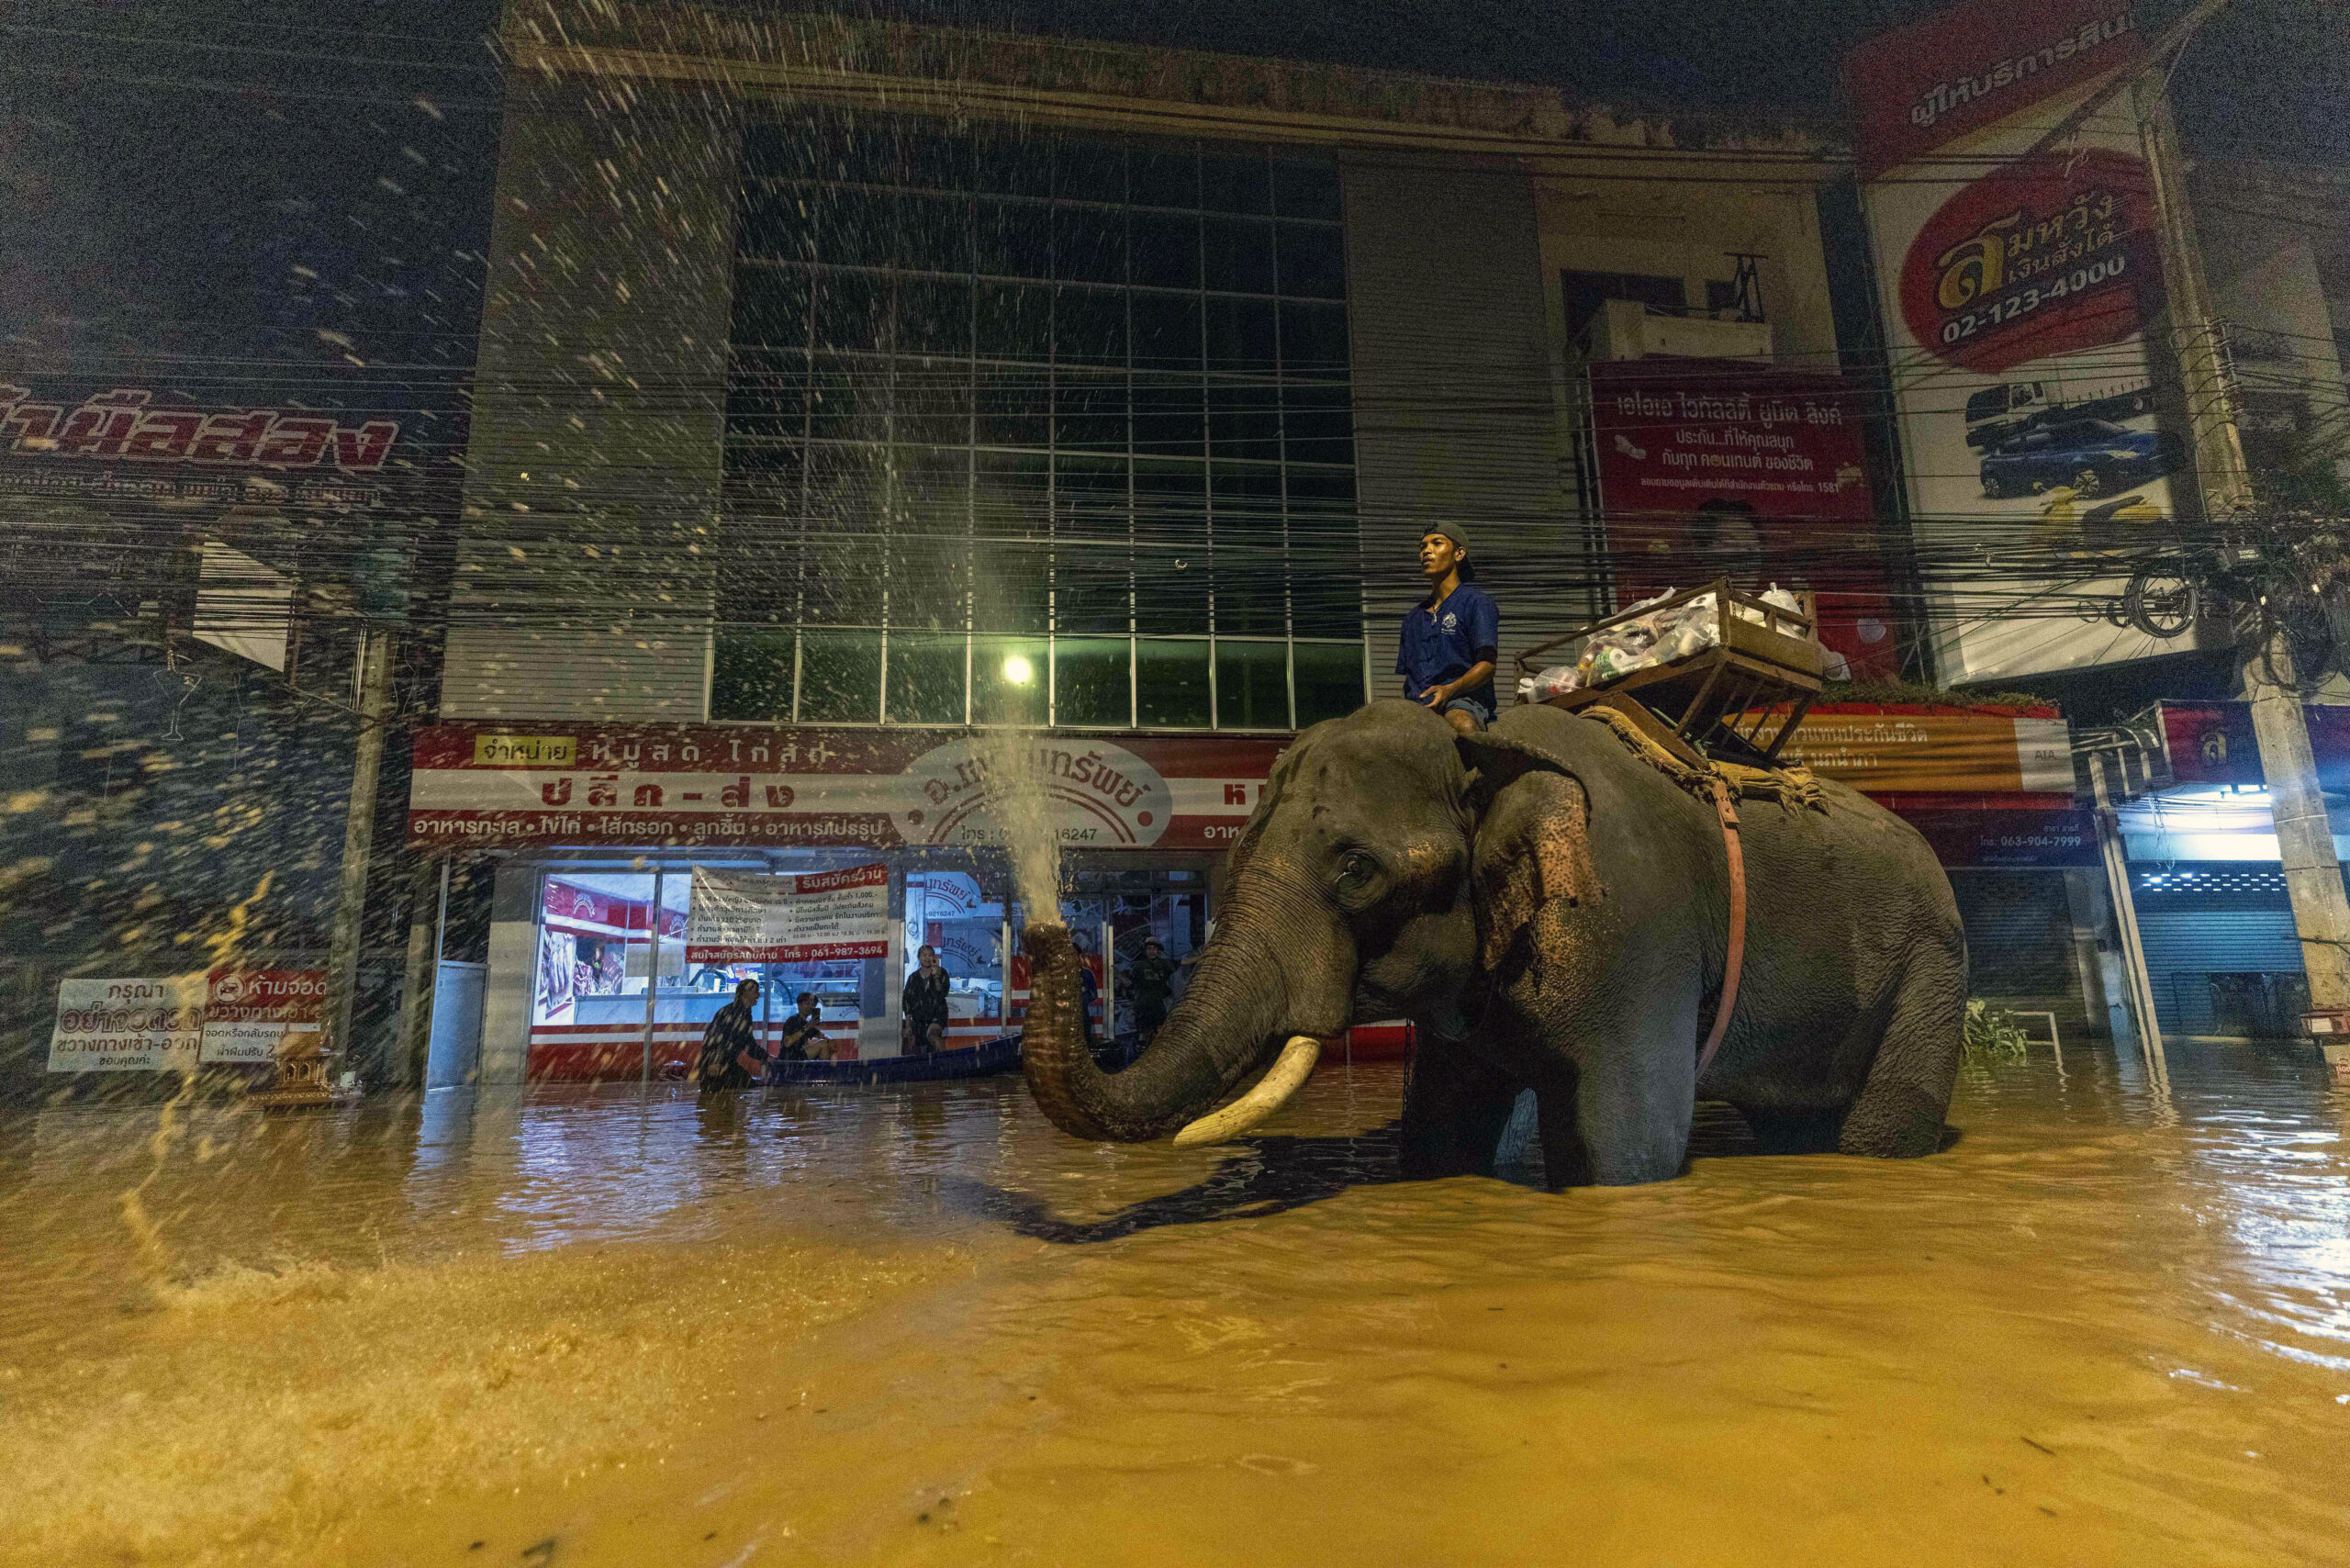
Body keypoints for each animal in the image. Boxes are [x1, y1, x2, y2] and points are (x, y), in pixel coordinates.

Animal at [1024, 700, 1964, 1189]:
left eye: (1357, 871)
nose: (1042, 930)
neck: (1485, 742)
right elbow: (1443, 1127)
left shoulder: (1635, 929)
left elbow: (1628, 1148)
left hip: (1932, 964)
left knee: (1883, 1124)